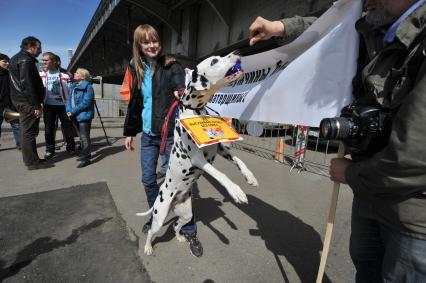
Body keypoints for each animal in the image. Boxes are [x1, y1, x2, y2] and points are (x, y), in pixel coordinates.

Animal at [138, 51, 258, 258]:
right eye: (214, 61)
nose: (237, 53)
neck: (195, 110)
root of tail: (164, 196)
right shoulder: (198, 159)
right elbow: (221, 175)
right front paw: (235, 191)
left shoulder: (221, 148)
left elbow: (239, 160)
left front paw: (249, 176)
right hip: (159, 217)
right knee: (152, 232)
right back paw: (148, 247)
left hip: (186, 214)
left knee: (177, 226)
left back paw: (180, 237)